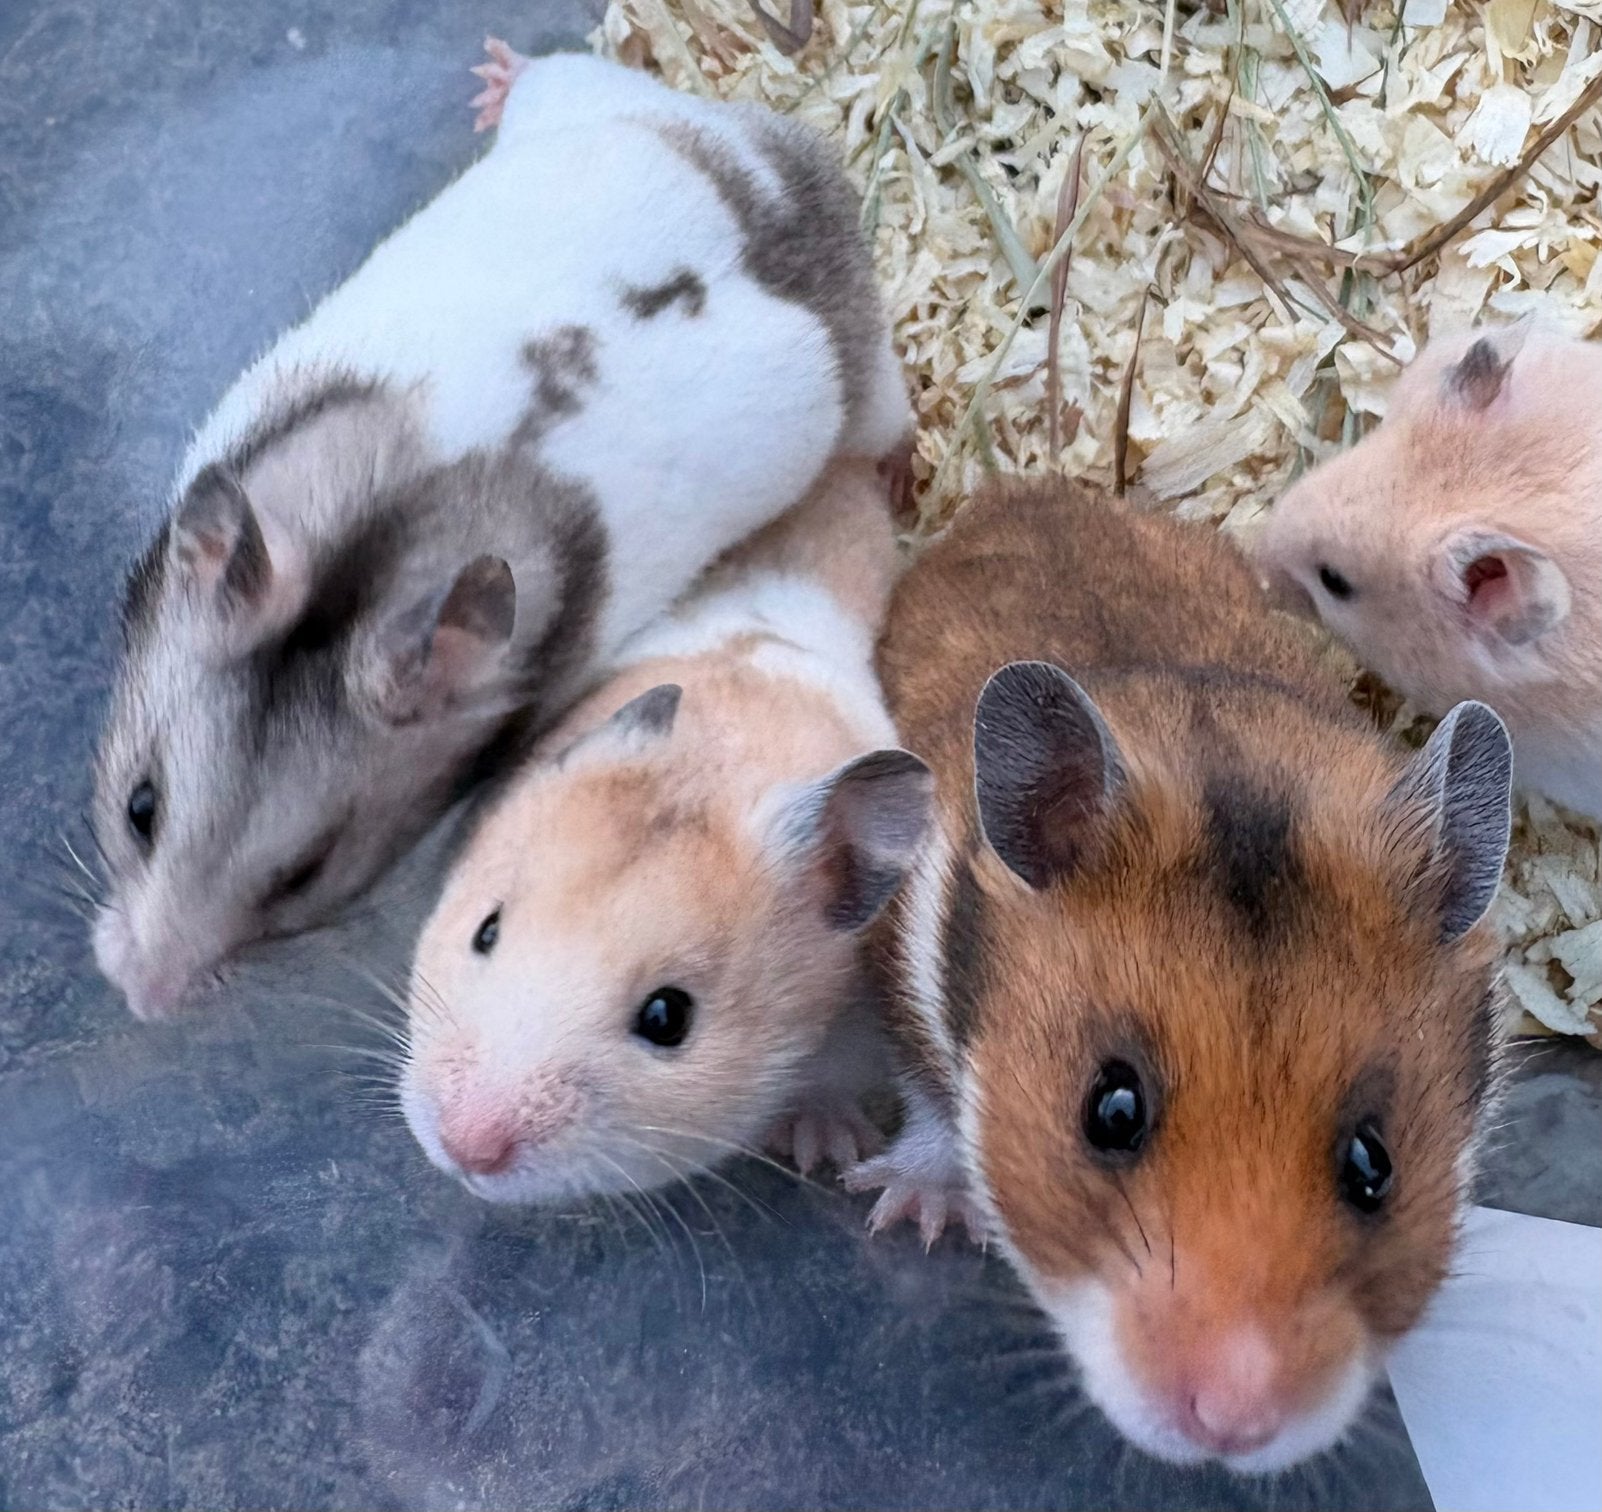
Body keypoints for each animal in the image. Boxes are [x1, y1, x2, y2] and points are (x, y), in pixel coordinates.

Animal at [89, 50, 911, 1021]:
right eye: (141, 808)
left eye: (302, 875)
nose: (142, 999)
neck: (375, 555)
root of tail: (793, 164)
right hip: (591, 103)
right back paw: (497, 72)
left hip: (864, 375)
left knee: (890, 415)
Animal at [848, 479, 1513, 1473]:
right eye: (1110, 1110)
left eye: (1375, 1164)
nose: (1232, 1426)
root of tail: (1020, 489)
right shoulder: (895, 959)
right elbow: (928, 1099)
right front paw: (911, 1220)